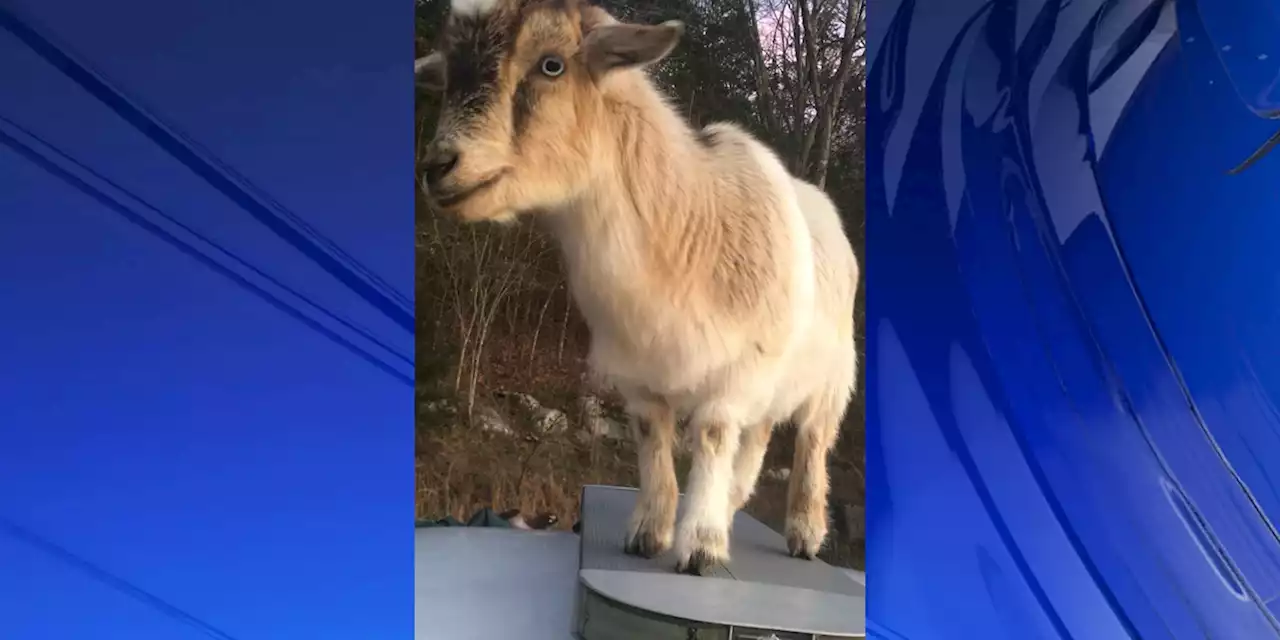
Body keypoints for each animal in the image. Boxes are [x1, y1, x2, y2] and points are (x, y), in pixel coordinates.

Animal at [419, 0, 860, 576]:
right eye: (449, 74)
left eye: (552, 65)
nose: (437, 167)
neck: (685, 226)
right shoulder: (640, 375)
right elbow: (653, 443)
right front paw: (648, 532)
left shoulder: (737, 370)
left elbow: (712, 437)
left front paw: (700, 547)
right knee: (759, 436)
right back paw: (735, 502)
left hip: (831, 378)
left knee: (812, 442)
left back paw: (804, 533)